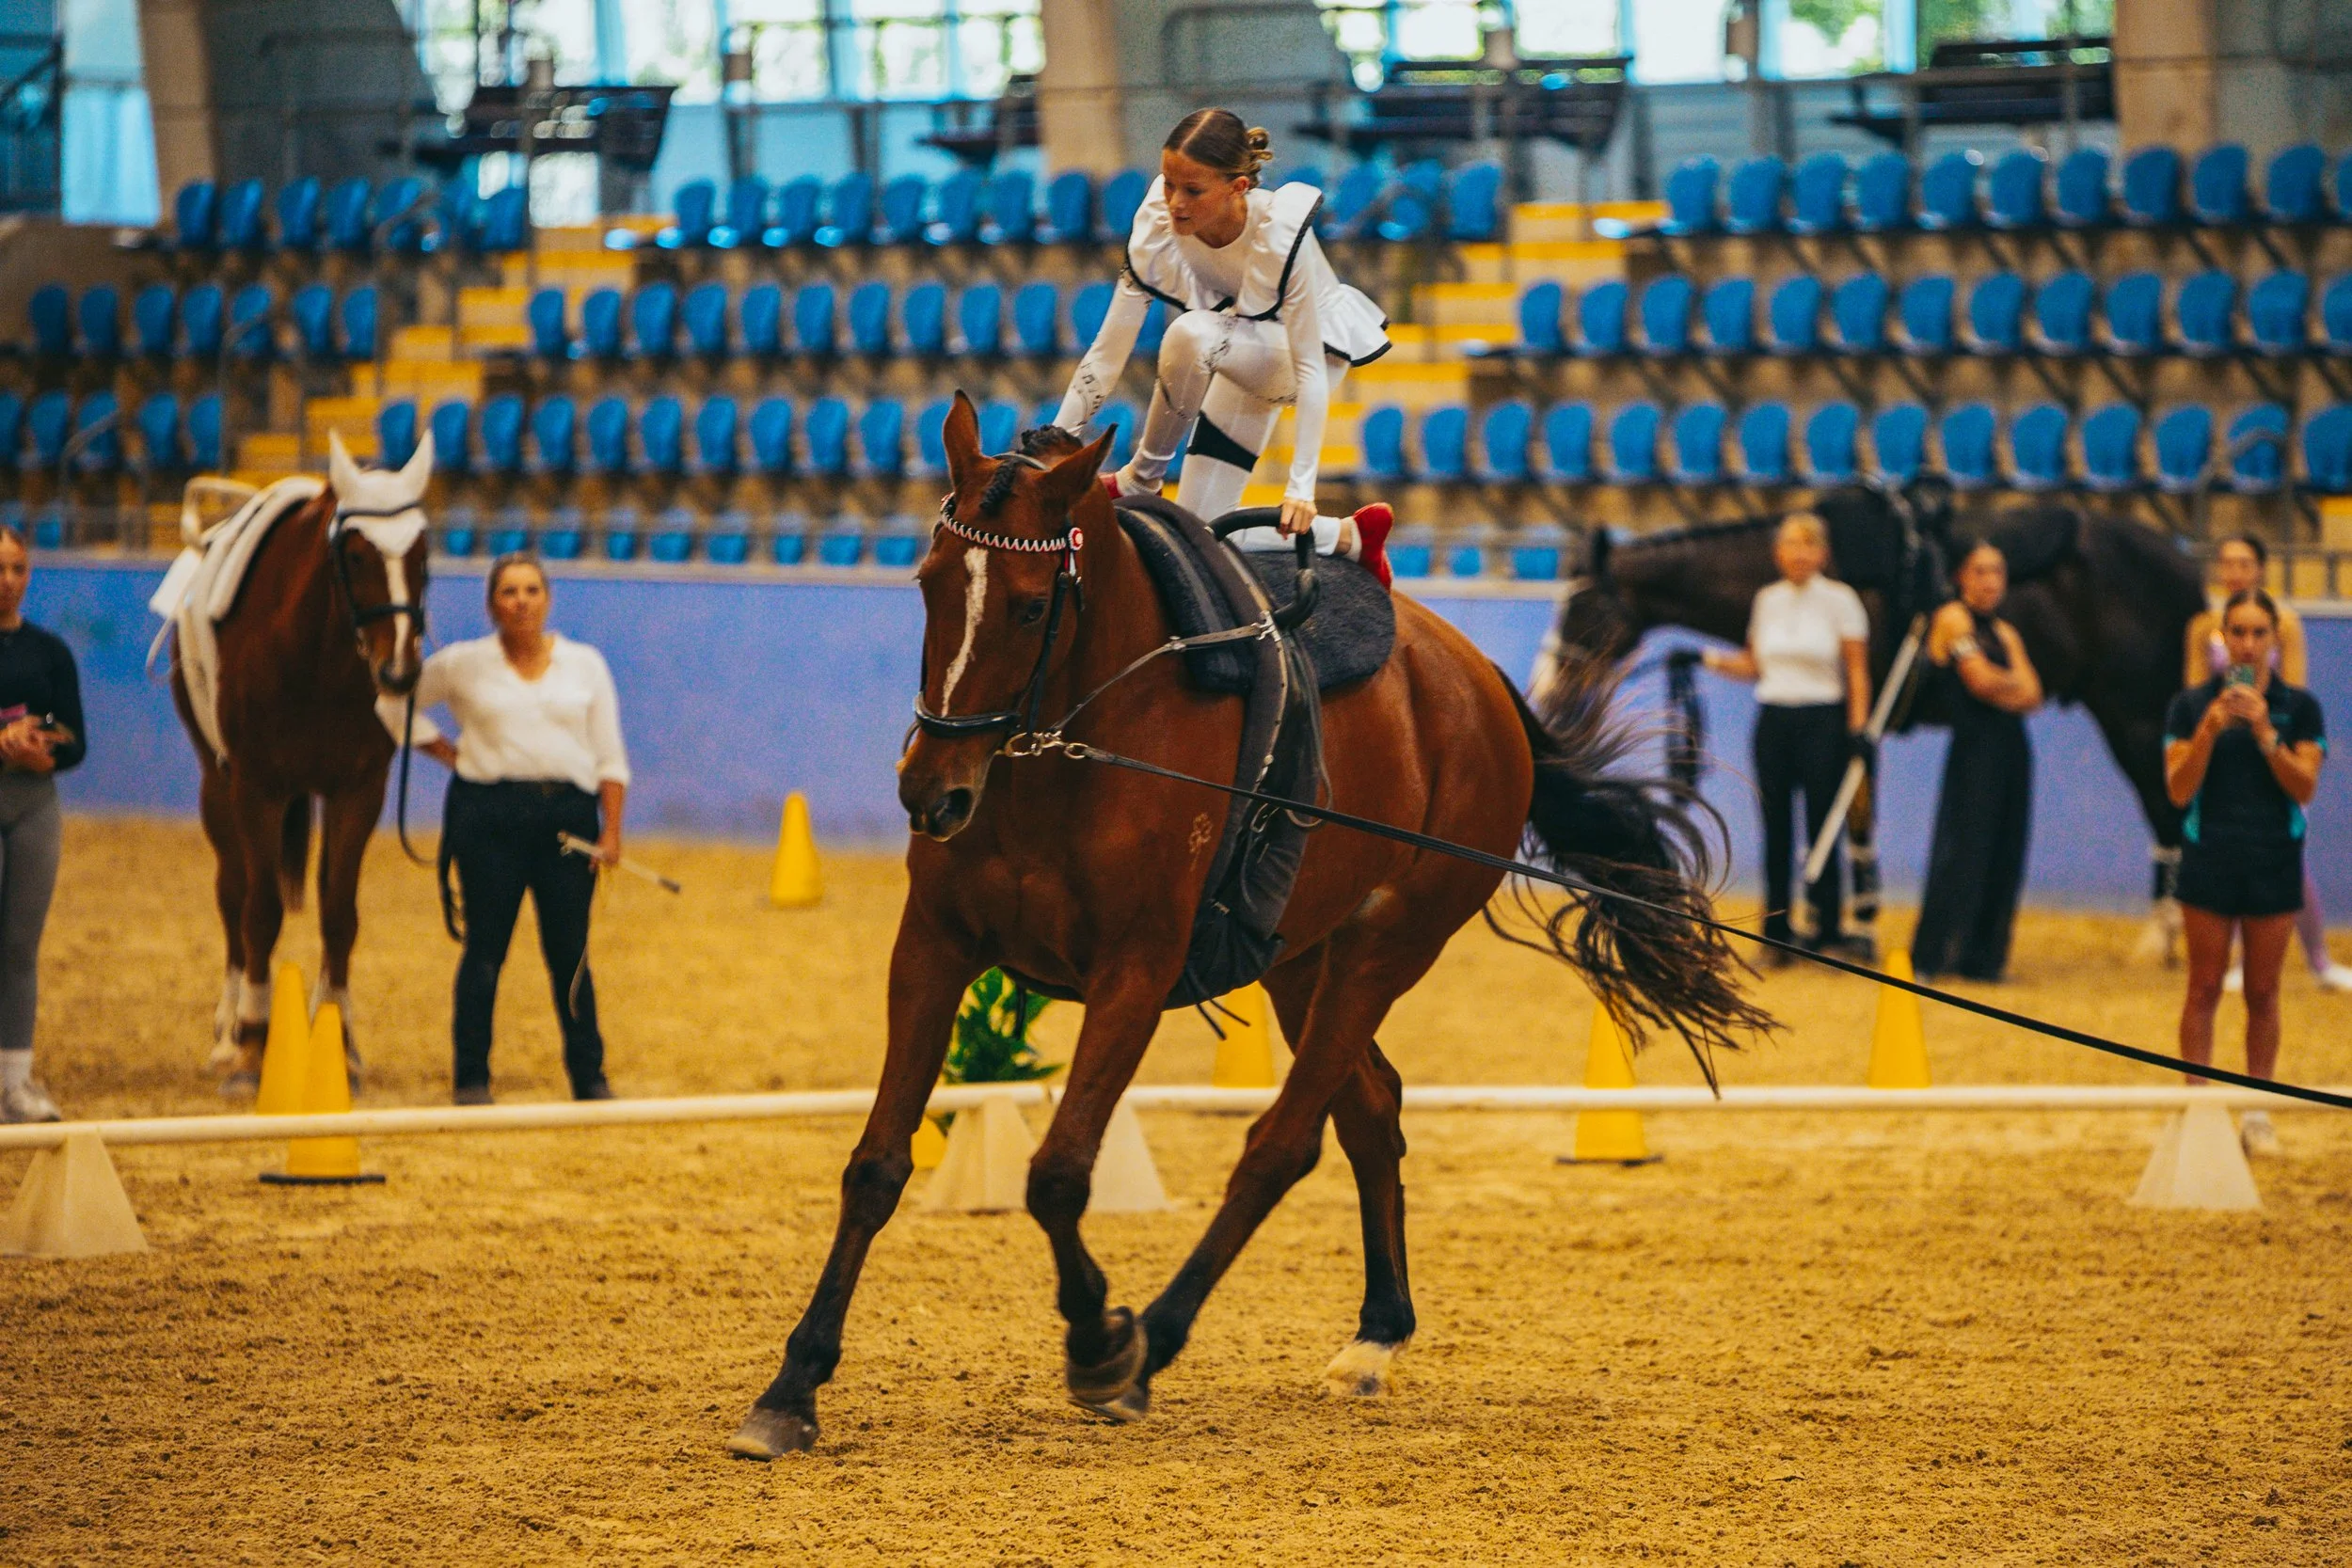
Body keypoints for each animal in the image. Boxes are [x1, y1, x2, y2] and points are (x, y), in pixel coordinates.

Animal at [171, 431, 435, 1093]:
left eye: (422, 552)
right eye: (357, 554)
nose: (400, 672)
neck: (316, 656)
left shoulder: (360, 789)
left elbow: (339, 911)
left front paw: (342, 1042)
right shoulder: (256, 786)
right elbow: (260, 909)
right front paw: (253, 1041)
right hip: (217, 784)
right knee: (233, 893)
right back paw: (227, 1033)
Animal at [728, 393, 1768, 1458]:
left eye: (1027, 604)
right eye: (930, 583)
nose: (931, 792)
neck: (1065, 746)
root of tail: (1477, 681)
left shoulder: (1134, 970)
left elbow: (1058, 1174)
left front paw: (1099, 1339)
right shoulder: (933, 947)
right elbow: (875, 1164)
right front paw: (792, 1385)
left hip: (1383, 949)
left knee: (1284, 1140)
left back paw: (1156, 1337)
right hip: (1299, 957)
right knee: (1369, 1108)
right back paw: (1372, 1336)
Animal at [1533, 487, 2206, 956]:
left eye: (1582, 607)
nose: (1544, 690)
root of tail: (2181, 565)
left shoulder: (1857, 728)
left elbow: (1853, 824)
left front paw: (1856, 929)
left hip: (2136, 716)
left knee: (2165, 809)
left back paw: (2163, 936)